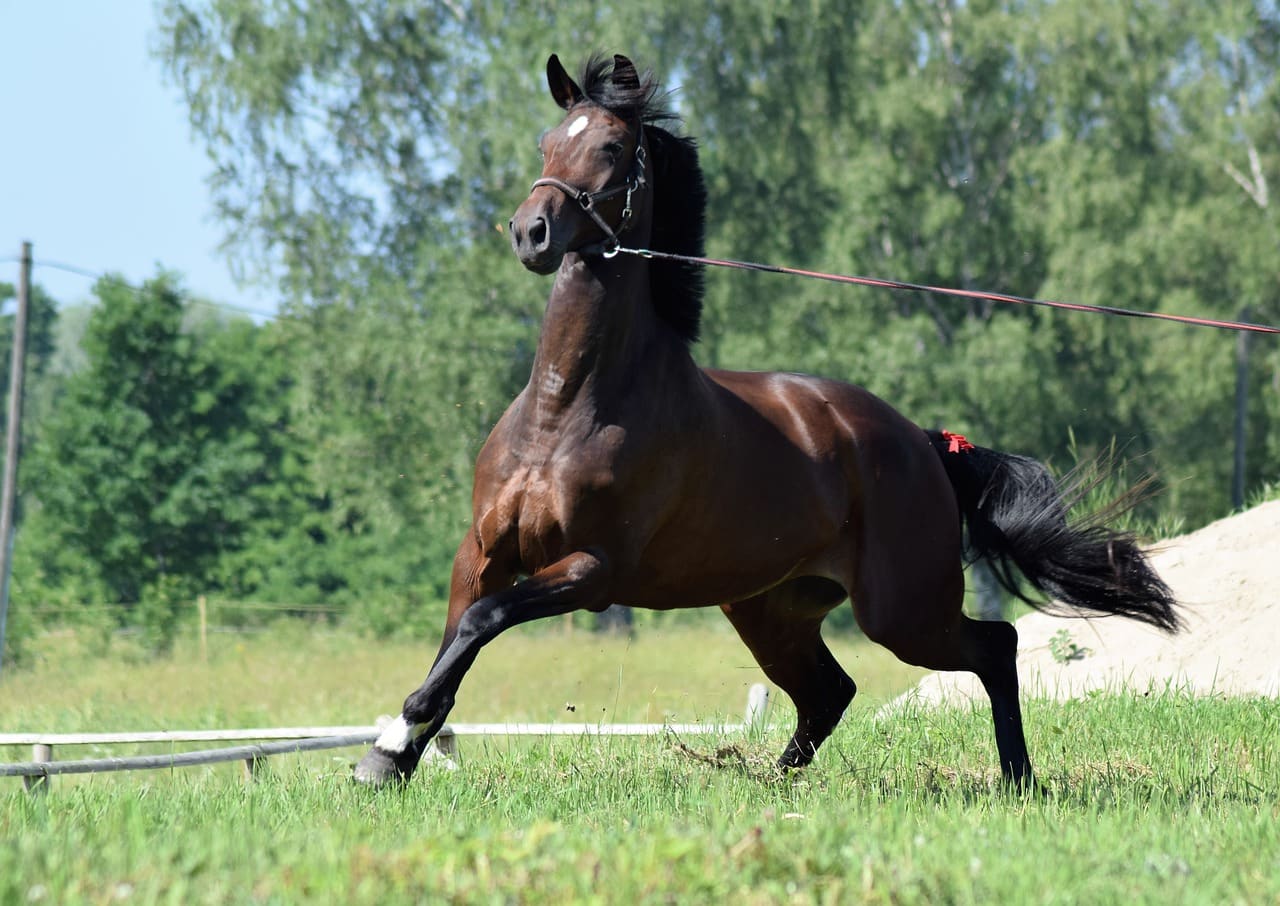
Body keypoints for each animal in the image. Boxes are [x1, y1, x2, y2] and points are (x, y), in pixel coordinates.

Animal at [354, 53, 1179, 790]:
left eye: (612, 148)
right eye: (547, 142)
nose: (531, 232)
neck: (568, 409)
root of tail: (921, 442)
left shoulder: (592, 571)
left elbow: (481, 623)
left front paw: (391, 743)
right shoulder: (481, 551)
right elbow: (459, 636)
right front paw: (392, 756)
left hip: (902, 611)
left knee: (993, 647)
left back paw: (1017, 779)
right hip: (770, 608)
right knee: (830, 692)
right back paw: (770, 780)